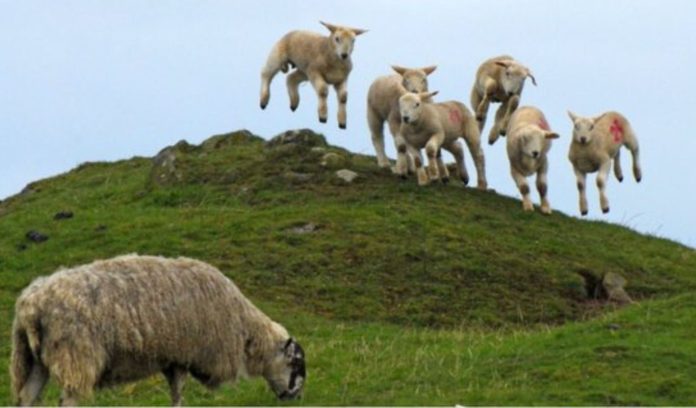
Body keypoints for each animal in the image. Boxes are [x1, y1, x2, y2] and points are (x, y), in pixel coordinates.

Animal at [11, 254, 306, 406]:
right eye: (295, 363)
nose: (295, 397)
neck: (245, 329)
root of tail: (32, 303)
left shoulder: (173, 358)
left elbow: (176, 392)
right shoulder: (186, 355)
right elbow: (179, 393)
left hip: (35, 359)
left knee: (26, 397)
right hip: (76, 357)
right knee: (67, 400)